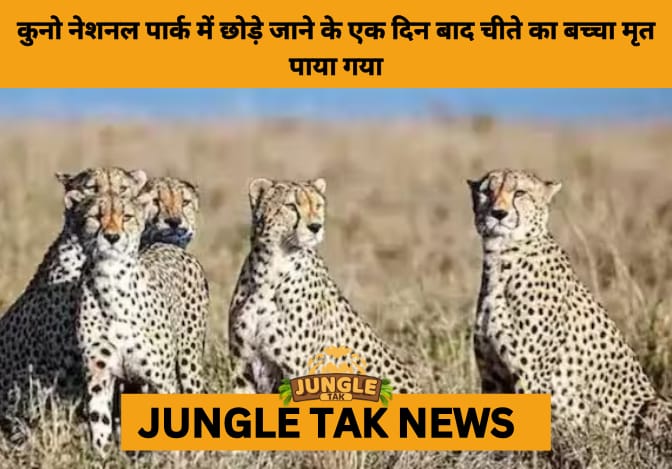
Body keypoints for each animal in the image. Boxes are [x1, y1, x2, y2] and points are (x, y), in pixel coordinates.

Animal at [74, 189, 209, 455]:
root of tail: (167, 245)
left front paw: (172, 459)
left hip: (188, 361)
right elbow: (100, 422)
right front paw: (103, 456)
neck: (111, 284)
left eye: (126, 216)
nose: (112, 237)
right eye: (96, 216)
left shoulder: (162, 379)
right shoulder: (98, 375)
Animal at [228, 177, 420, 396]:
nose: (315, 226)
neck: (269, 270)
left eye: (317, 205)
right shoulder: (242, 367)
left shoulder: (300, 371)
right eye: (291, 206)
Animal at [468, 168, 672, 458]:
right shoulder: (492, 376)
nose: (498, 213)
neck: (502, 259)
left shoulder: (531, 378)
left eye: (520, 193)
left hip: (654, 404)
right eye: (487, 191)